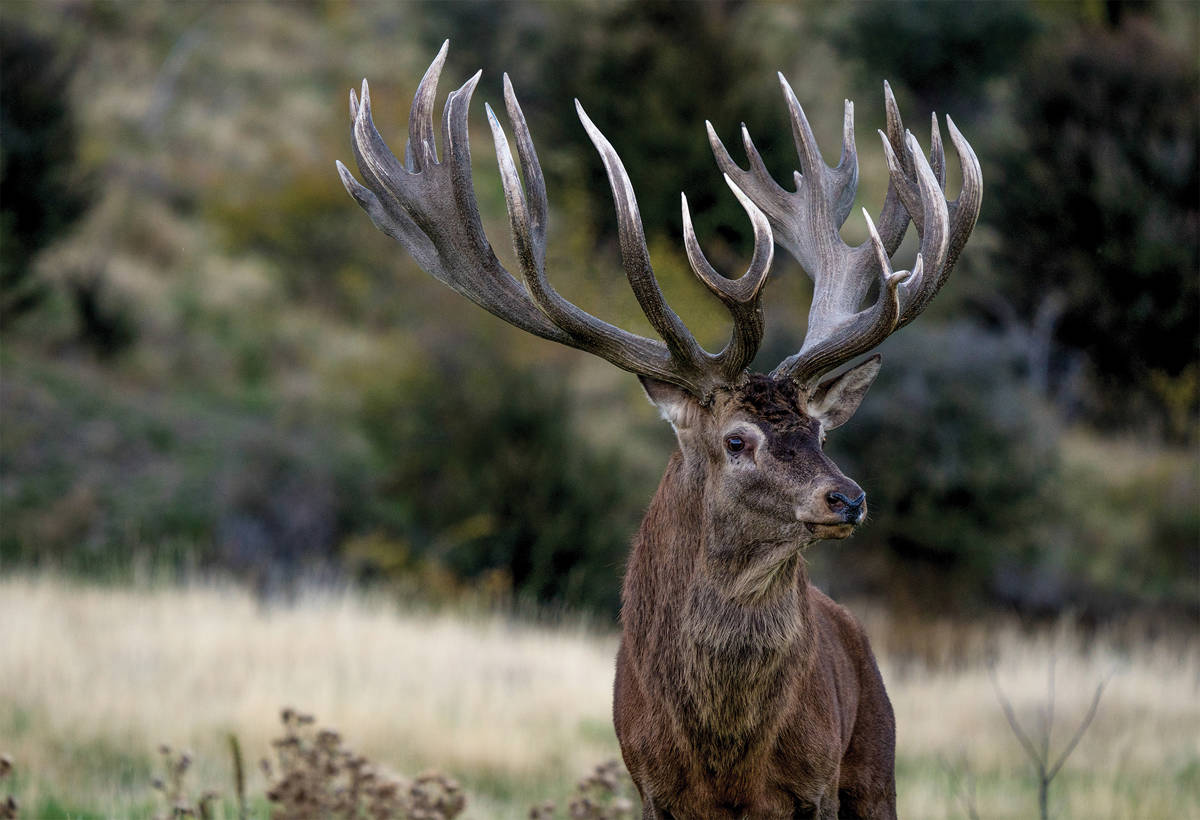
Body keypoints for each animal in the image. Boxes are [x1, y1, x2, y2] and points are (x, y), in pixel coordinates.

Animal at [337, 41, 981, 820]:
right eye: (736, 440)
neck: (727, 762)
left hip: (876, 768)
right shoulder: (649, 783)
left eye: (820, 434)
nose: (847, 499)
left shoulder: (815, 784)